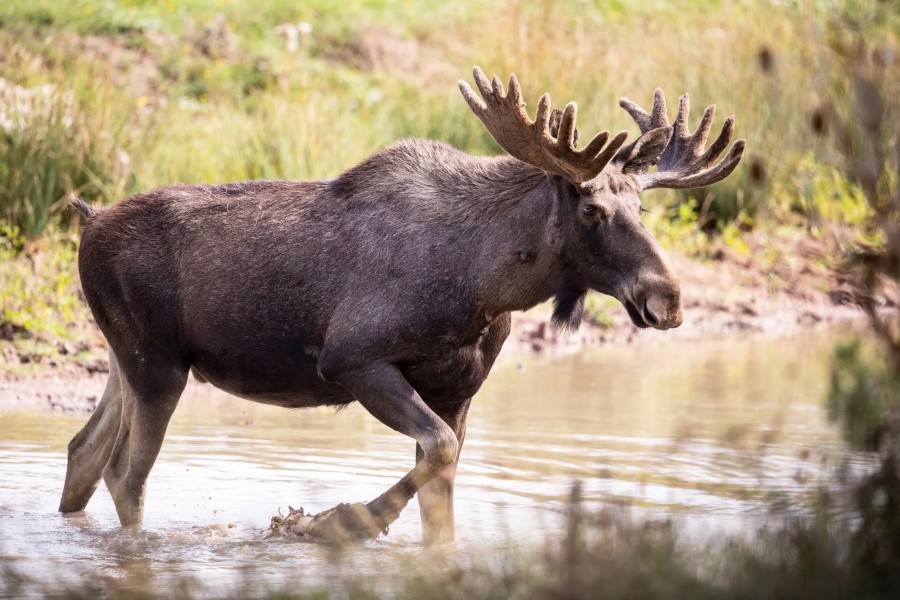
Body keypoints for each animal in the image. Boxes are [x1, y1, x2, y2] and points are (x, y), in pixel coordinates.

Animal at [58, 68, 744, 548]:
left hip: (128, 359)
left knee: (84, 451)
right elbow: (439, 451)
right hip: (159, 365)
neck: (487, 284)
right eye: (593, 210)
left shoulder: (459, 388)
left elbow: (443, 498)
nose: (669, 298)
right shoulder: (354, 358)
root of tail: (87, 221)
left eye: (642, 207)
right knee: (125, 474)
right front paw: (329, 522)